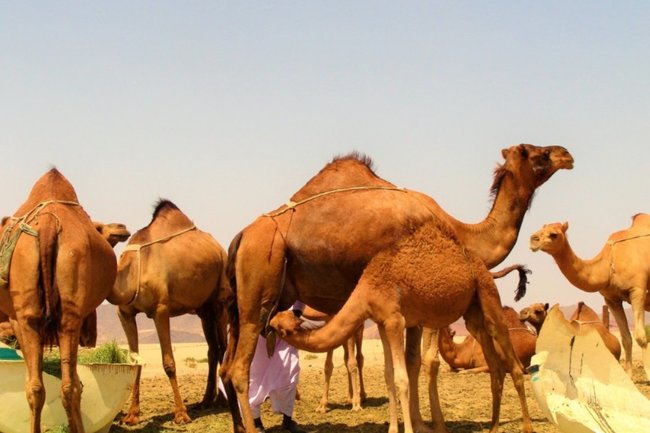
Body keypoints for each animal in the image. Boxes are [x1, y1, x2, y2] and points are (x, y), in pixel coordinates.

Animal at [0, 168, 118, 433]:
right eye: (101, 229)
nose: (120, 228)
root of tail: (47, 224)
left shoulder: (16, 320)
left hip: (38, 315)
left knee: (54, 386)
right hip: (63, 315)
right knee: (57, 387)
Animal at [105, 199, 239, 427]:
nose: (120, 227)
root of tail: (219, 248)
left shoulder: (160, 309)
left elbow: (169, 362)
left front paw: (181, 414)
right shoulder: (125, 314)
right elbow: (135, 363)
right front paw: (132, 415)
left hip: (220, 300)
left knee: (222, 346)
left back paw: (222, 401)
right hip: (203, 310)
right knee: (212, 348)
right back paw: (206, 400)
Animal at [270, 219, 531, 433]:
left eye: (277, 327)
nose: (268, 324)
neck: (368, 289)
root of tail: (480, 265)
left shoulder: (396, 320)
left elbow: (402, 378)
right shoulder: (382, 322)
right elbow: (388, 376)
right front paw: (393, 429)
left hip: (487, 292)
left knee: (512, 360)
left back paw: (526, 426)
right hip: (473, 312)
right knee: (495, 366)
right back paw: (494, 427)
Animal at [529, 217, 650, 375]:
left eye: (553, 234)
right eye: (541, 229)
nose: (533, 239)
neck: (609, 263)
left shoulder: (637, 290)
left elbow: (641, 337)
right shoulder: (612, 298)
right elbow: (626, 339)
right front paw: (629, 376)